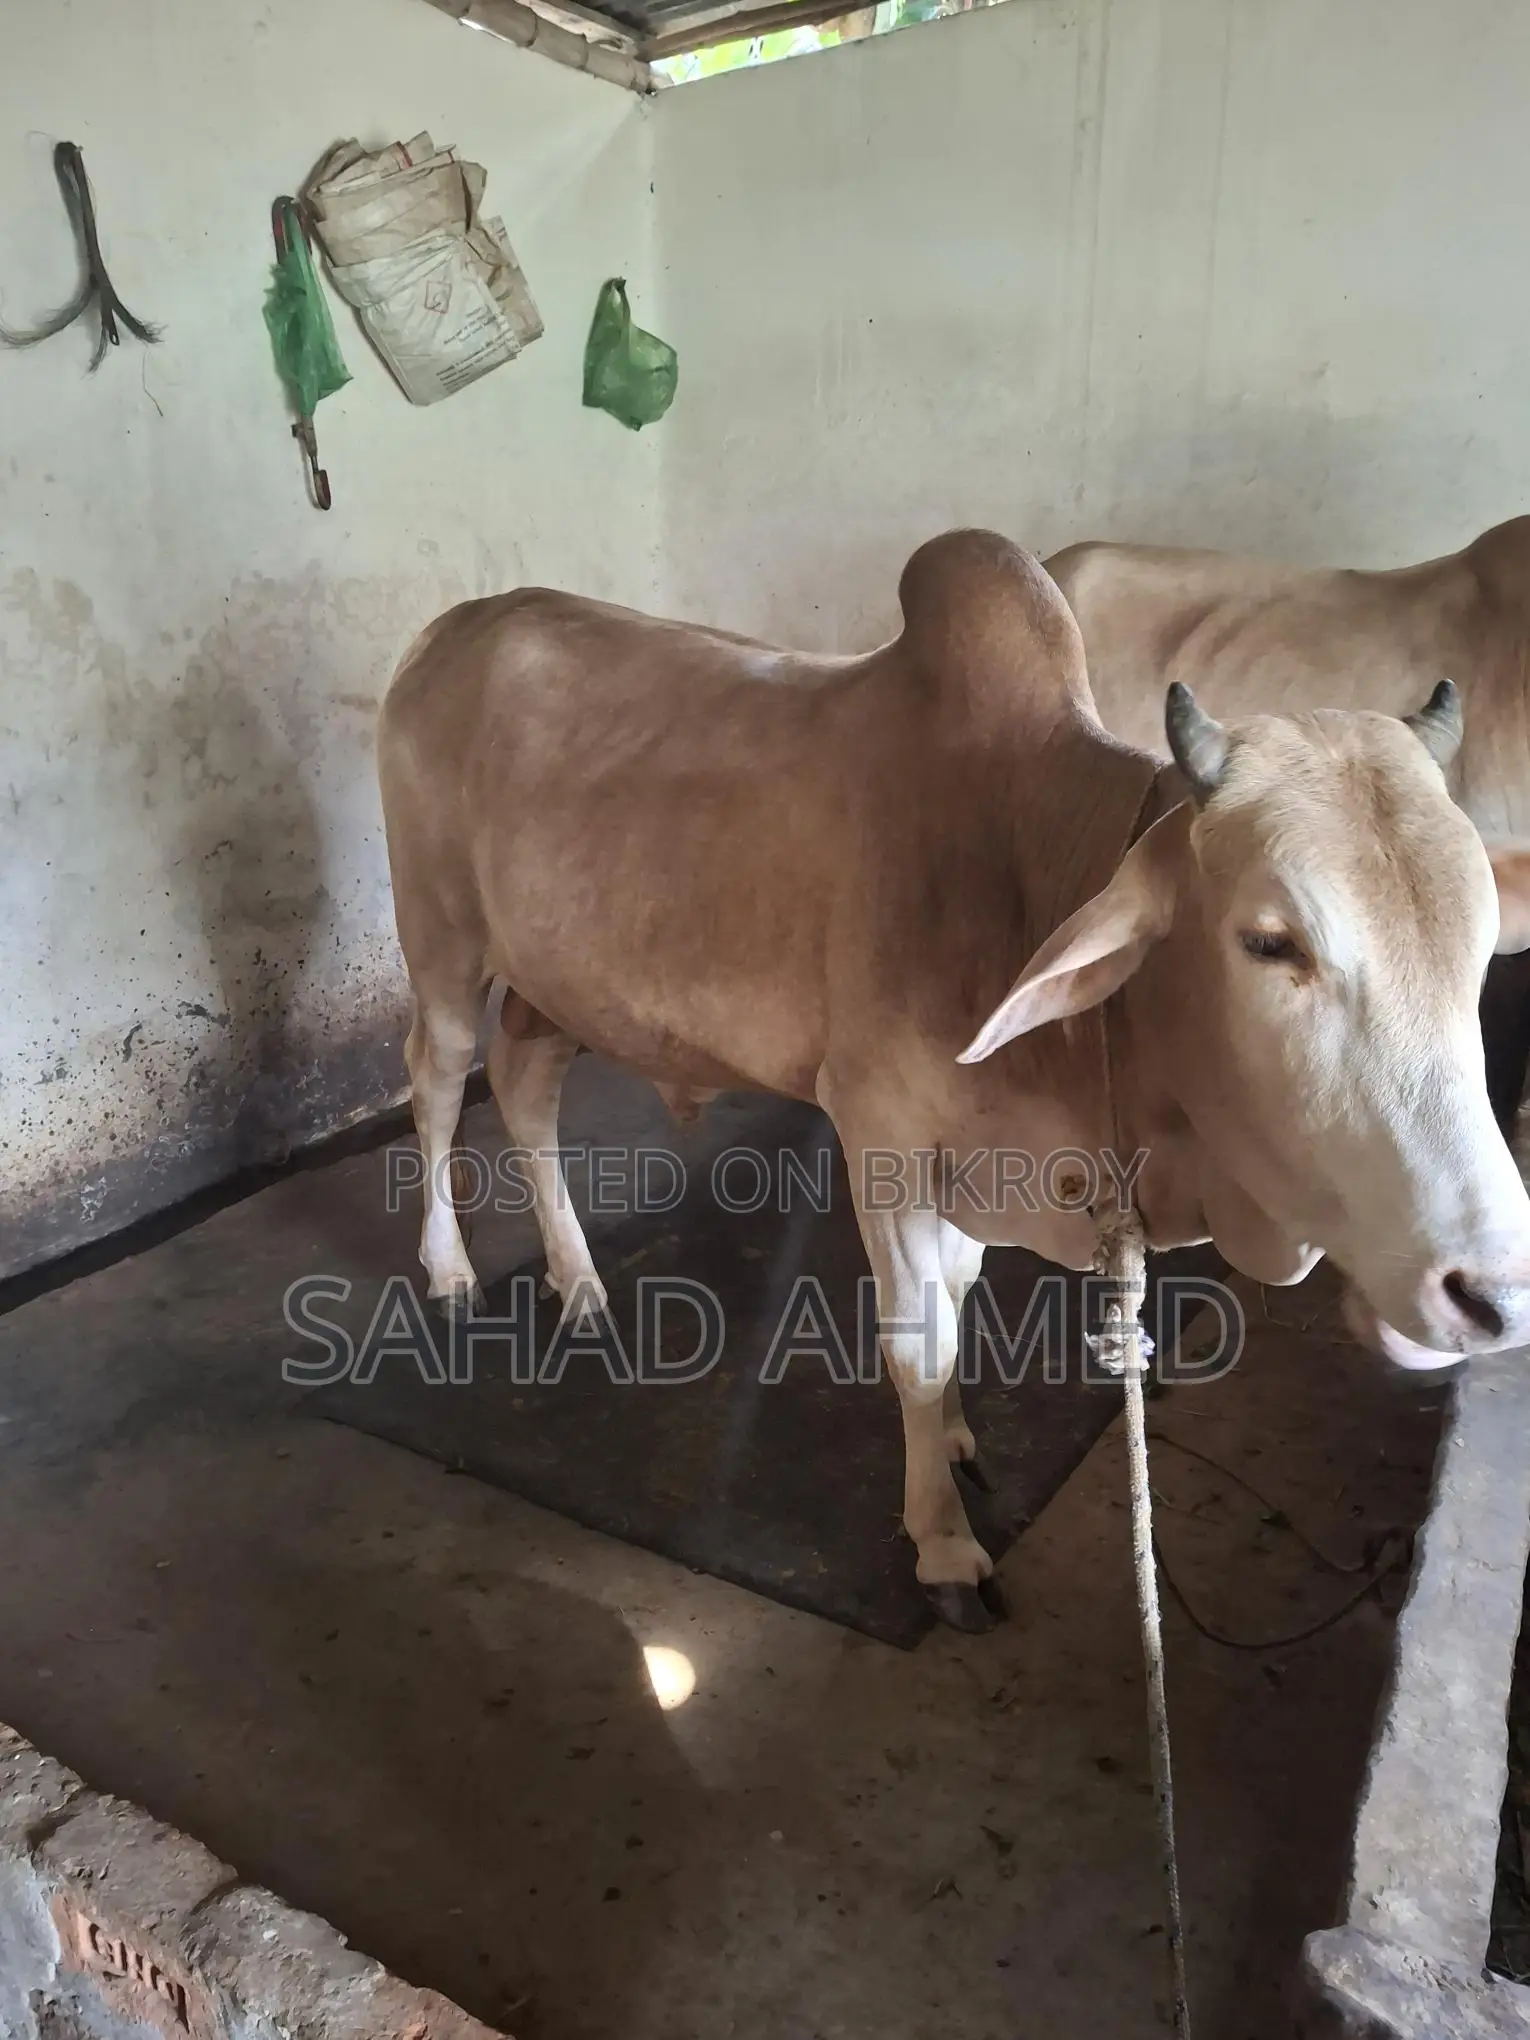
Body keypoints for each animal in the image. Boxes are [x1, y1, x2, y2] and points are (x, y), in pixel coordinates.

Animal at [377, 529, 1530, 1631]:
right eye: (1271, 941)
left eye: (1481, 947)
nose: (1494, 1295)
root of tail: (455, 629)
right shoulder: (882, 1143)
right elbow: (918, 1343)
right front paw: (940, 1544)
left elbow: (963, 1301)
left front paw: (961, 1438)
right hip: (441, 943)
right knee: (437, 1084)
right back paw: (449, 1268)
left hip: (553, 982)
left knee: (524, 1085)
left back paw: (577, 1280)